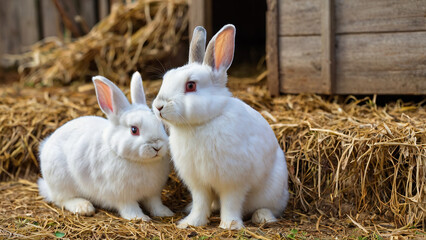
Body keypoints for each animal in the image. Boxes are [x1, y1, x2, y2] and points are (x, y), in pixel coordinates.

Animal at [37, 71, 174, 221]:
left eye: (159, 124)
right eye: (134, 130)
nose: (157, 146)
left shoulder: (152, 193)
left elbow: (155, 203)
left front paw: (165, 213)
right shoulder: (122, 195)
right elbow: (130, 207)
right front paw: (140, 218)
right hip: (61, 181)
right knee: (61, 199)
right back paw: (84, 207)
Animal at [151, 25, 288, 230]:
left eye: (190, 85)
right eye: (166, 78)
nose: (159, 106)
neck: (202, 123)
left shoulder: (233, 182)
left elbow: (231, 203)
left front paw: (230, 225)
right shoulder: (198, 183)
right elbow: (200, 203)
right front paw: (191, 223)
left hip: (271, 193)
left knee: (268, 208)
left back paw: (262, 217)